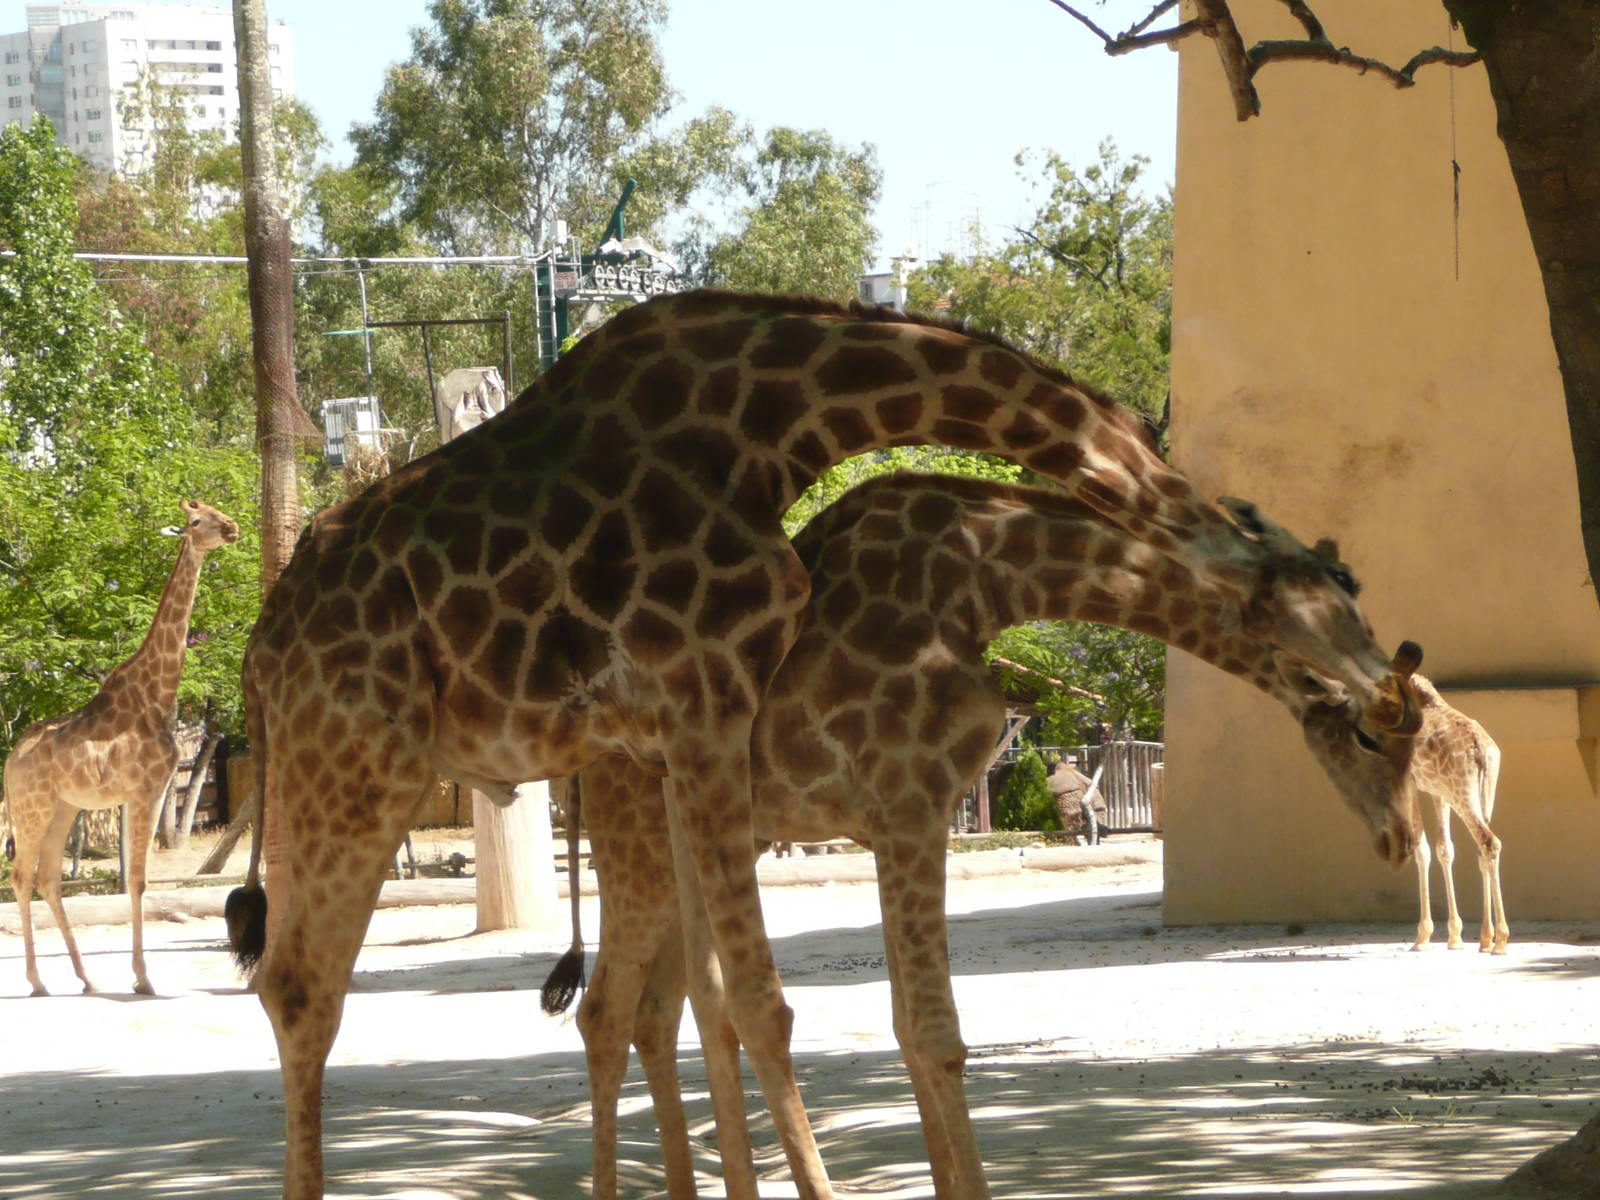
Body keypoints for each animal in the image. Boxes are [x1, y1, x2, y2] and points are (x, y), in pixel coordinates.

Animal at [2, 499, 239, 996]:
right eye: (196, 521)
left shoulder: (147, 791)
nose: (232, 528)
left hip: (63, 807)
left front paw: (134, 976)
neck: (159, 695)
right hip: (34, 808)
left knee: (48, 877)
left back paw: (87, 978)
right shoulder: (145, 791)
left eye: (216, 510)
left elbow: (135, 879)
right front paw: (143, 979)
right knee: (21, 874)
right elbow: (139, 881)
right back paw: (37, 982)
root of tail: (10, 760)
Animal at [540, 471, 1425, 1200]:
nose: (1401, 839)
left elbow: (907, 1027)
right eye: (1372, 738)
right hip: (640, 843)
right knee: (609, 1010)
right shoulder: (909, 804)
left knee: (673, 1006)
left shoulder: (901, 814)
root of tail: (584, 757)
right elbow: (933, 1034)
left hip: (702, 838)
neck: (987, 582)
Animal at [1304, 674, 1506, 954]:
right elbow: (1445, 850)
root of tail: (1481, 751)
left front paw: (1422, 937)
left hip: (1463, 794)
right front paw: (1454, 936)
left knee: (1489, 842)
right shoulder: (1438, 791)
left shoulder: (1412, 784)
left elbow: (1421, 850)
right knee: (1481, 850)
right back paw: (1487, 939)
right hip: (1483, 795)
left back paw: (1501, 940)